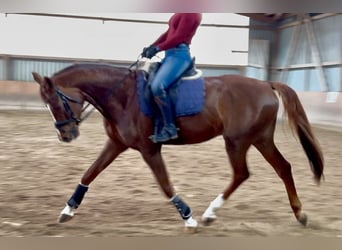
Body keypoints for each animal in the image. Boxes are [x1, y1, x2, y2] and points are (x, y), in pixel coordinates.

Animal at [32, 63, 324, 231]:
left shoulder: (149, 149)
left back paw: (208, 213)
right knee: (283, 168)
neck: (123, 96)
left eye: (56, 103)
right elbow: (90, 173)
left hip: (238, 141)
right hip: (260, 139)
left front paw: (188, 218)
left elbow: (165, 184)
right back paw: (299, 214)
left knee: (242, 173)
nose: (66, 136)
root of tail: (265, 83)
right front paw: (68, 209)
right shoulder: (116, 144)